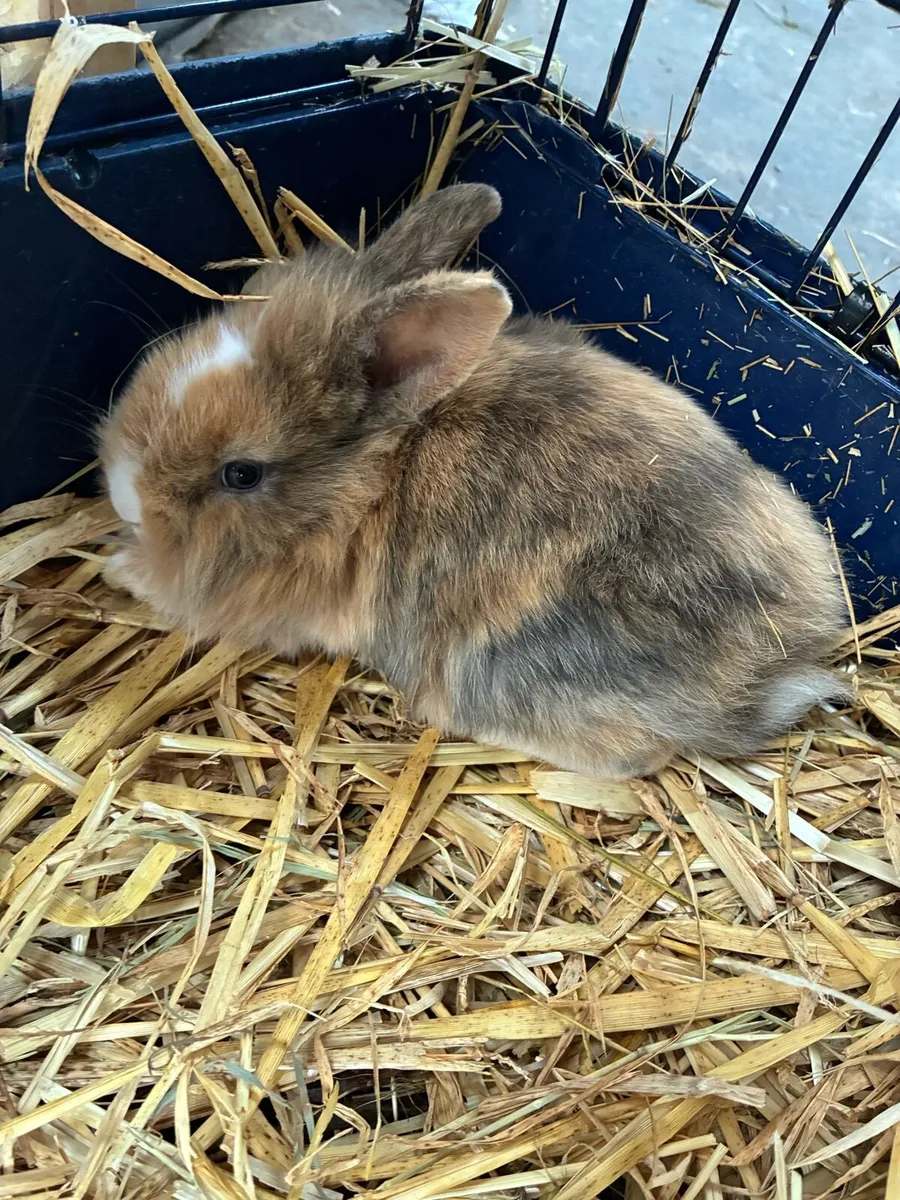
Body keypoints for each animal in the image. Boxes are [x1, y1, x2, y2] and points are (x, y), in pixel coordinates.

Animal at [100, 182, 850, 780]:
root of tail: (770, 665)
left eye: (242, 472)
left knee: (634, 757)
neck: (369, 480)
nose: (119, 490)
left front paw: (117, 567)